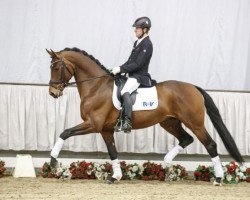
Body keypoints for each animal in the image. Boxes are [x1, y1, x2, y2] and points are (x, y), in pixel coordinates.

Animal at [46, 47, 243, 185]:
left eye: (55, 67)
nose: (52, 93)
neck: (96, 86)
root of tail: (193, 87)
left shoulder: (93, 124)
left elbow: (65, 132)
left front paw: (54, 161)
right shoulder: (105, 129)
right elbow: (112, 152)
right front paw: (115, 177)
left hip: (195, 123)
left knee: (210, 144)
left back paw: (218, 178)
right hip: (169, 122)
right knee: (186, 139)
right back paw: (167, 166)